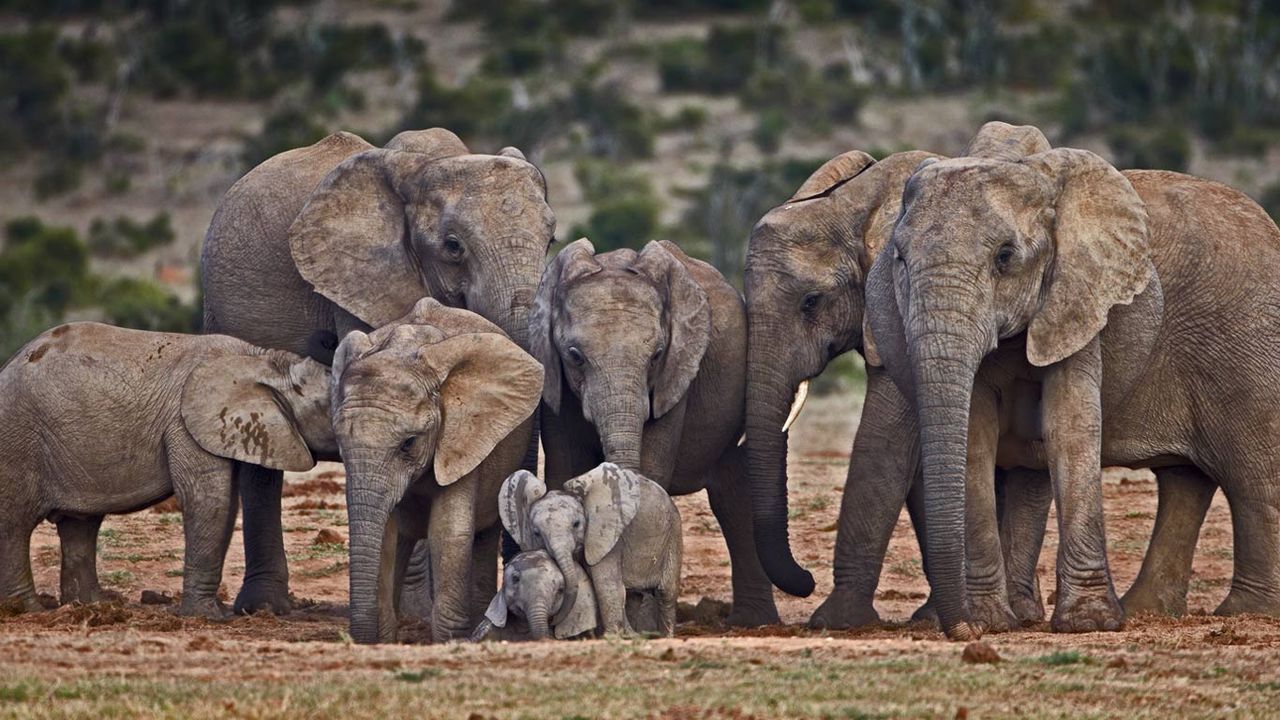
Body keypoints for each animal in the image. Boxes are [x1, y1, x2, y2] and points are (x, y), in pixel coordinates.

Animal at [0, 322, 335, 618]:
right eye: (328, 406)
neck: (265, 361)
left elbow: (226, 505)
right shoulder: (185, 426)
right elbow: (207, 500)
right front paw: (207, 617)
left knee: (80, 525)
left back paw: (92, 606)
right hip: (18, 439)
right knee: (15, 524)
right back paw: (27, 611)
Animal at [328, 298, 542, 643]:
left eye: (409, 443)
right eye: (339, 441)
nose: (355, 638)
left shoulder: (462, 437)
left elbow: (448, 532)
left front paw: (449, 642)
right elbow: (384, 534)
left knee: (482, 536)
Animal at [562, 463, 682, 636]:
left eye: (576, 524)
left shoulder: (609, 533)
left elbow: (606, 580)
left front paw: (609, 637)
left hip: (674, 533)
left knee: (666, 592)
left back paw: (665, 637)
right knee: (633, 593)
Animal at [863, 124, 1280, 639]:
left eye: (1005, 257)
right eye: (899, 258)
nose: (963, 631)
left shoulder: (1080, 297)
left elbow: (1070, 425)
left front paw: (1088, 623)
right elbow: (975, 435)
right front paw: (993, 622)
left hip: (1246, 341)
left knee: (1252, 473)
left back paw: (1247, 613)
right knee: (1186, 480)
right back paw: (1148, 611)